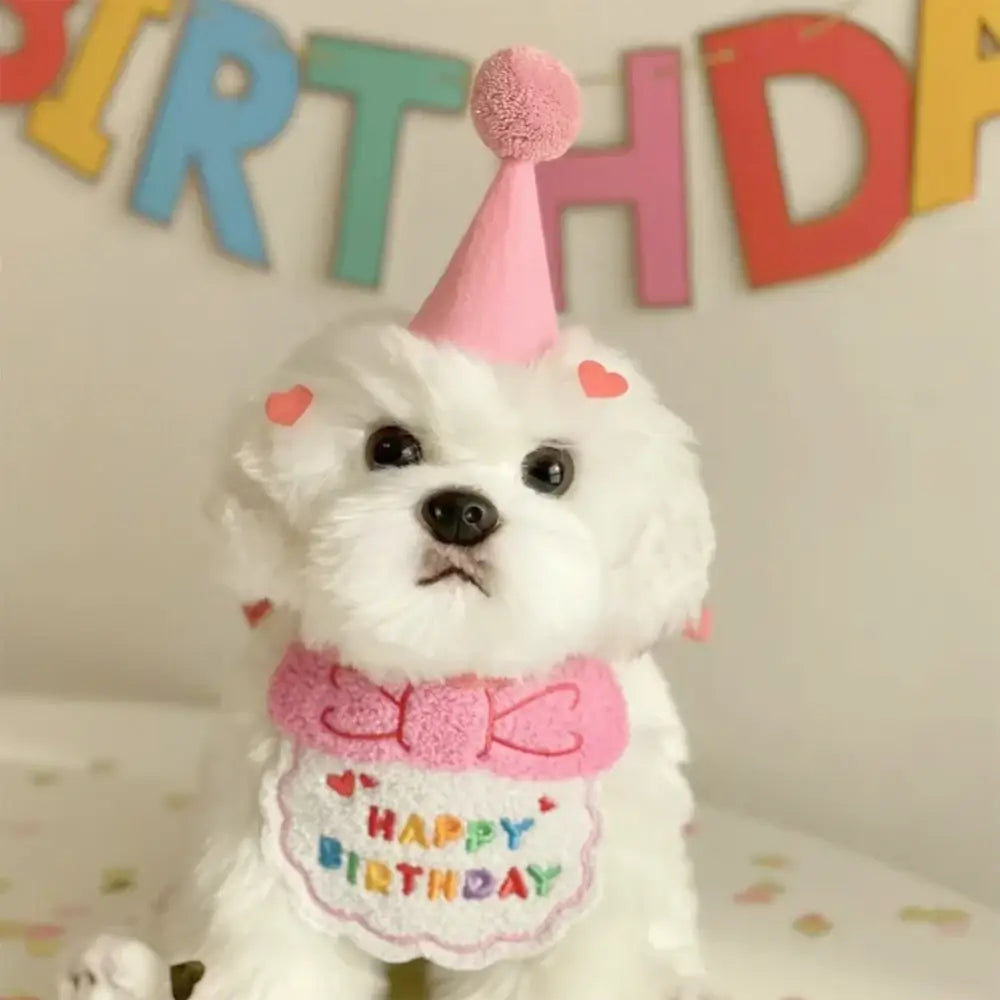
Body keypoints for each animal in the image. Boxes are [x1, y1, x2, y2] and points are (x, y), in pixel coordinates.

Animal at [60, 45, 712, 1000]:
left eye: (550, 471)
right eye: (391, 447)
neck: (443, 702)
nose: (462, 509)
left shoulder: (579, 917)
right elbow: (281, 962)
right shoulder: (267, 875)